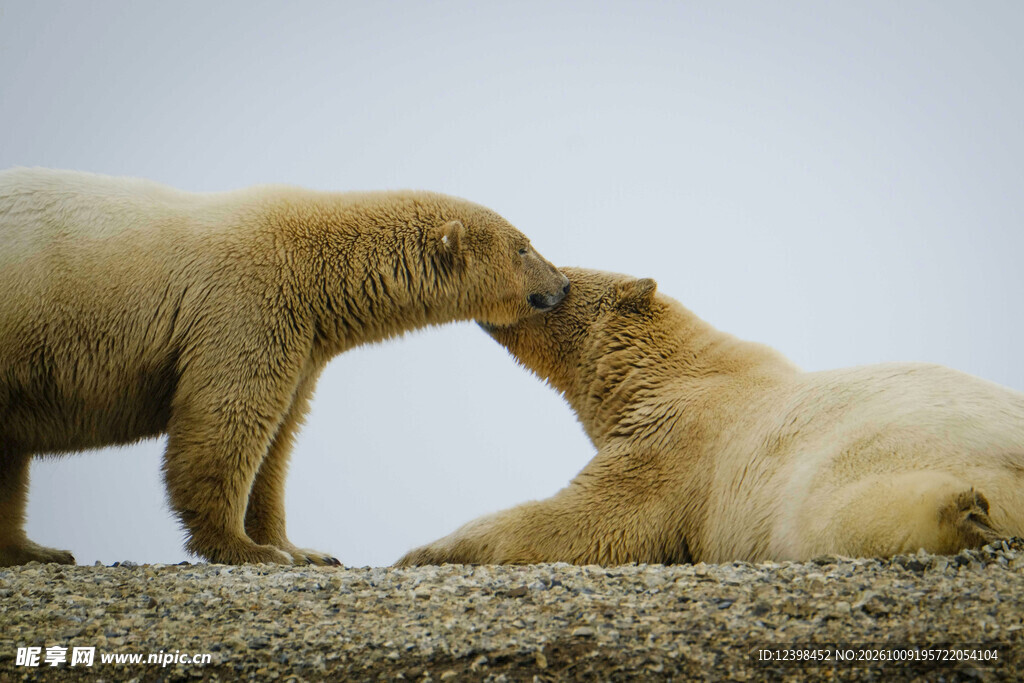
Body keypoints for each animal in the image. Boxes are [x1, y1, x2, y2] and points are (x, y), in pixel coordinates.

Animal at [0, 167, 569, 567]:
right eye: (524, 247)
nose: (562, 285)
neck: (319, 266)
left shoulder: (303, 338)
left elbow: (278, 437)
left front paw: (304, 550)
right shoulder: (247, 302)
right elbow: (227, 419)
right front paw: (247, 549)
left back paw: (35, 550)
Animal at [397, 267, 1024, 566]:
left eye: (561, 279)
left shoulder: (674, 444)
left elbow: (584, 521)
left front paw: (423, 551)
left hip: (841, 469)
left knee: (844, 516)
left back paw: (963, 514)